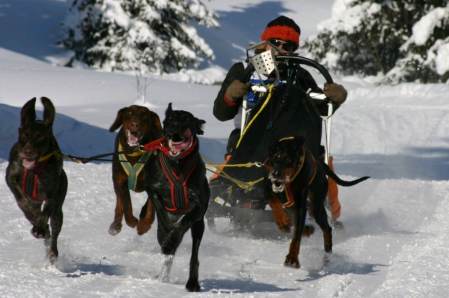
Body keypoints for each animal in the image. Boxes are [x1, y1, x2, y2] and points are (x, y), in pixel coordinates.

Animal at [5, 96, 67, 262]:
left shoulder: (52, 192)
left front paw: (39, 228)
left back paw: (51, 249)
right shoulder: (11, 176)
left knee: (54, 229)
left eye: (40, 137)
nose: (27, 152)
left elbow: (45, 212)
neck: (34, 169)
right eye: (25, 134)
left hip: (59, 208)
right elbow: (22, 200)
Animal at [107, 105, 162, 235]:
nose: (135, 124)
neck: (134, 152)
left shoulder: (153, 183)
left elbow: (151, 206)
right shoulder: (120, 181)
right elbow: (126, 203)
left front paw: (144, 224)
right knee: (119, 202)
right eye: (130, 113)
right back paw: (116, 224)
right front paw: (131, 220)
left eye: (145, 115)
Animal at [143, 103, 209, 292]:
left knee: (194, 256)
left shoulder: (198, 207)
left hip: (199, 227)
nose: (173, 127)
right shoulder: (153, 191)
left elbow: (182, 225)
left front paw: (171, 240)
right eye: (169, 120)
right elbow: (162, 217)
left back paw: (192, 282)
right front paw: (166, 236)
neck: (177, 164)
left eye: (186, 119)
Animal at [264, 136, 366, 268]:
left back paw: (327, 253)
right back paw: (305, 228)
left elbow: (296, 236)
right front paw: (282, 222)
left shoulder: (299, 205)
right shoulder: (269, 188)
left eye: (288, 160)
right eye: (274, 158)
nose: (275, 174)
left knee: (326, 228)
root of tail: (319, 162)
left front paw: (292, 258)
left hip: (316, 205)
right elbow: (274, 202)